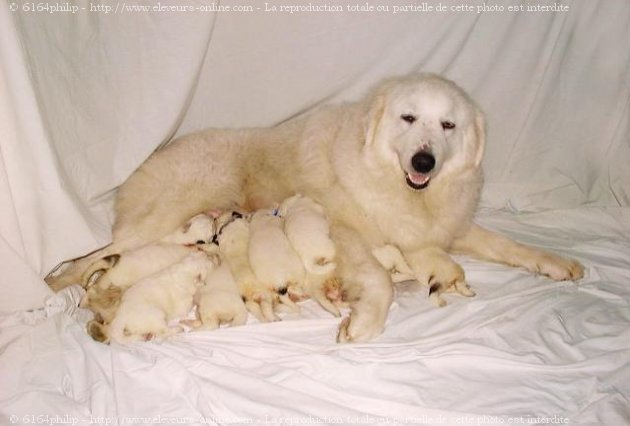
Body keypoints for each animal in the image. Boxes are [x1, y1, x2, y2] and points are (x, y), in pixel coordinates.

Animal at [50, 74, 588, 342]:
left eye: (448, 126)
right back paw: (68, 292)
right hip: (167, 215)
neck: (404, 189)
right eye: (408, 118)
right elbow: (377, 278)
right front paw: (364, 322)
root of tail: (147, 161)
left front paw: (557, 263)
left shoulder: (444, 230)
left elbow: (507, 244)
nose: (424, 160)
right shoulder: (346, 234)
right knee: (91, 260)